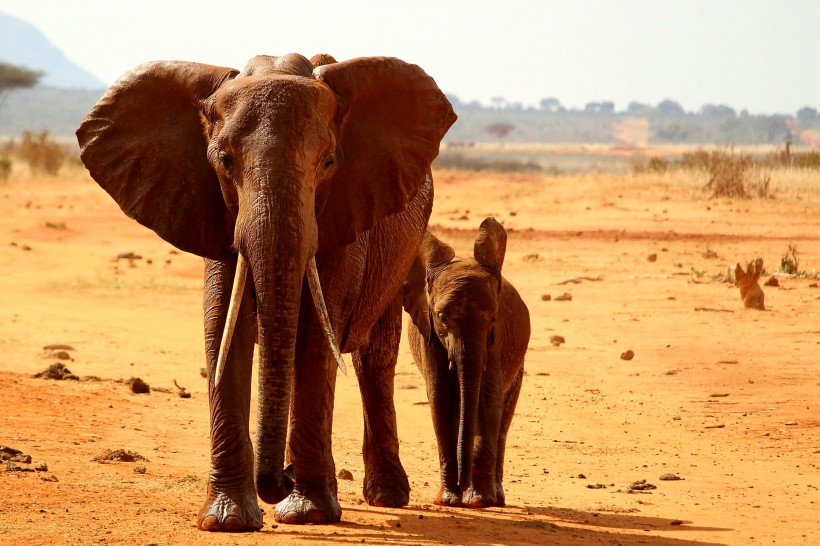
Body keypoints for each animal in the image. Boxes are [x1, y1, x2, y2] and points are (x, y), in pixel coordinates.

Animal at [76, 55, 454, 532]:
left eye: (329, 161)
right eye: (223, 160)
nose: (279, 479)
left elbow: (315, 336)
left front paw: (308, 513)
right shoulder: (212, 212)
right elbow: (223, 329)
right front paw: (227, 519)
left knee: (375, 358)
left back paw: (384, 495)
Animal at [404, 217, 532, 506]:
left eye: (493, 318)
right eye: (441, 317)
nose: (463, 486)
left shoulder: (496, 341)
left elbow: (488, 398)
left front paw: (479, 501)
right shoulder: (428, 334)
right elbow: (439, 398)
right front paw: (448, 500)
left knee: (503, 418)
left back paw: (496, 497)